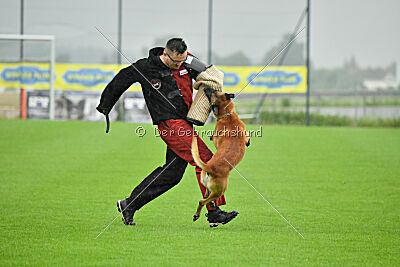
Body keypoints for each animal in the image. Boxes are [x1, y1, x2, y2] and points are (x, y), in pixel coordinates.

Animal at [191, 89, 250, 223]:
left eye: (214, 91)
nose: (205, 88)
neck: (227, 115)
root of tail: (209, 167)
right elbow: (248, 138)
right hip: (220, 190)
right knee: (202, 201)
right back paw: (197, 214)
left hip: (209, 185)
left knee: (206, 195)